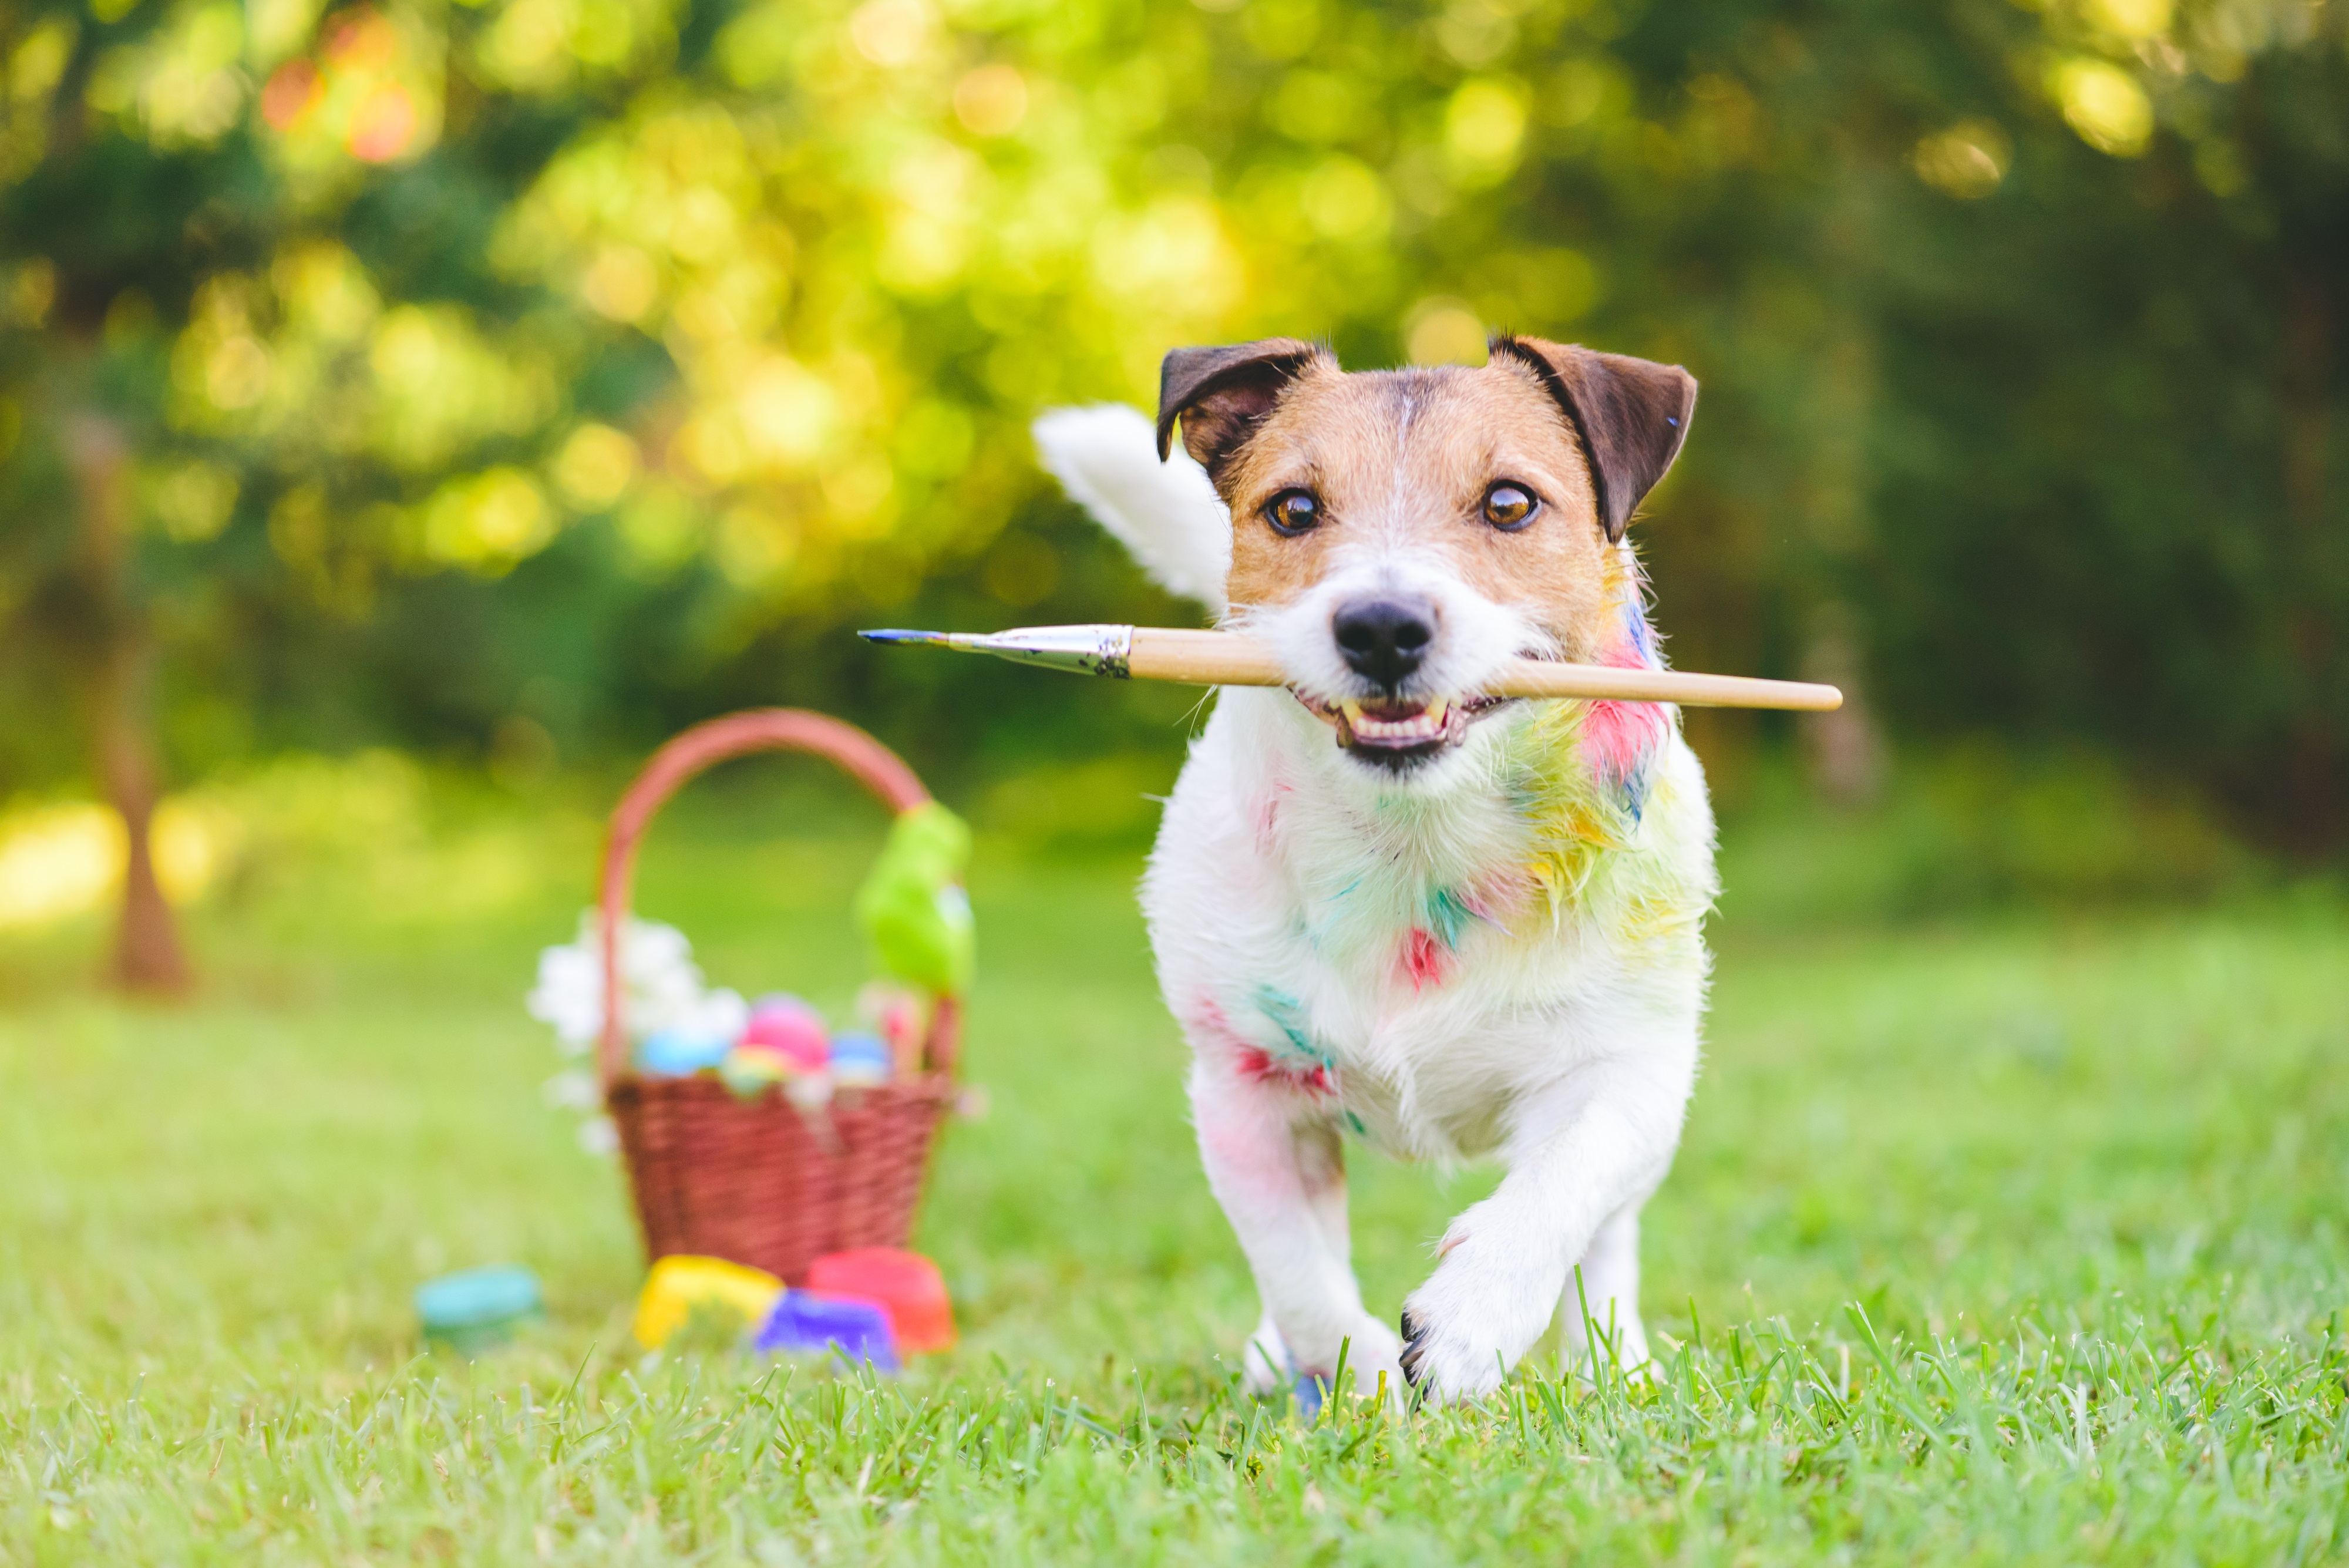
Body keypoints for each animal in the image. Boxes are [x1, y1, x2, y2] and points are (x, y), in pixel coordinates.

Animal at [1038, 338, 1719, 1399]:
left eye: (1511, 502)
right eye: (1292, 509)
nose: (1382, 626)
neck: (1417, 843)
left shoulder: (1629, 1070)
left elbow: (1568, 1180)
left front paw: (1475, 1319)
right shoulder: (1244, 1100)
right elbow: (1300, 1277)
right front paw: (1357, 1376)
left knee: (1606, 1240)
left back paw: (1614, 1364)